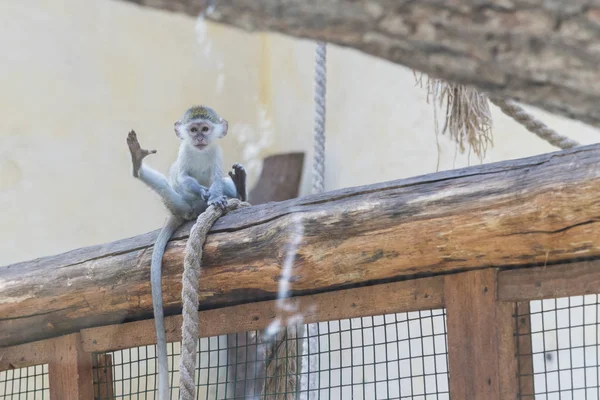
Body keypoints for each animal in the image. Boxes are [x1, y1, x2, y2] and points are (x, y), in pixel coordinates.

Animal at [126, 104, 248, 398]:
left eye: (205, 129)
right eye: (193, 130)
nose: (200, 138)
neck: (200, 152)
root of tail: (183, 212)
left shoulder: (216, 153)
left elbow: (216, 180)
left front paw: (217, 194)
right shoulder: (184, 156)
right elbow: (183, 177)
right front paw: (204, 191)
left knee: (223, 185)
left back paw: (238, 187)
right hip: (180, 202)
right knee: (172, 188)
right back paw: (138, 165)